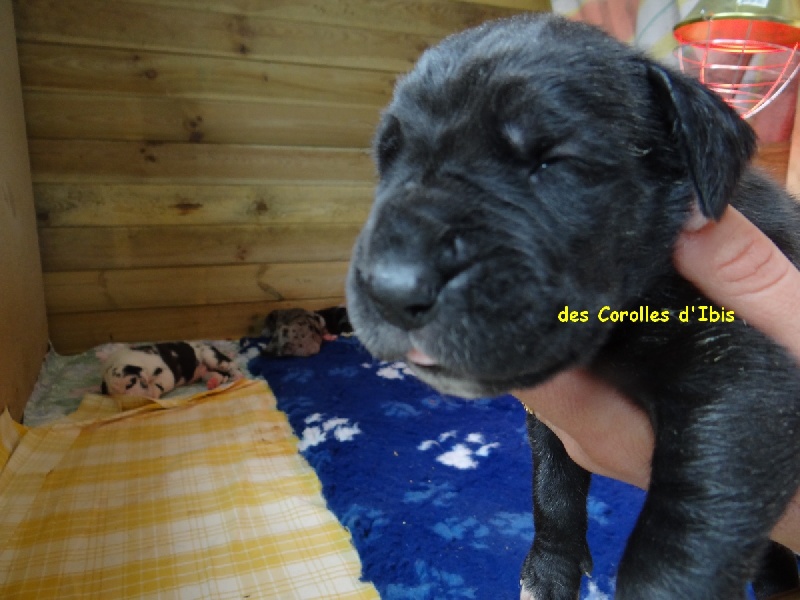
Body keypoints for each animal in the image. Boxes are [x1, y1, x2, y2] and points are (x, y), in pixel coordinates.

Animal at [346, 13, 800, 600]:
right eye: (388, 159)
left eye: (553, 163)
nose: (391, 287)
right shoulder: (550, 418)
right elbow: (552, 482)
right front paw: (550, 567)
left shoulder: (746, 377)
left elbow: (684, 541)